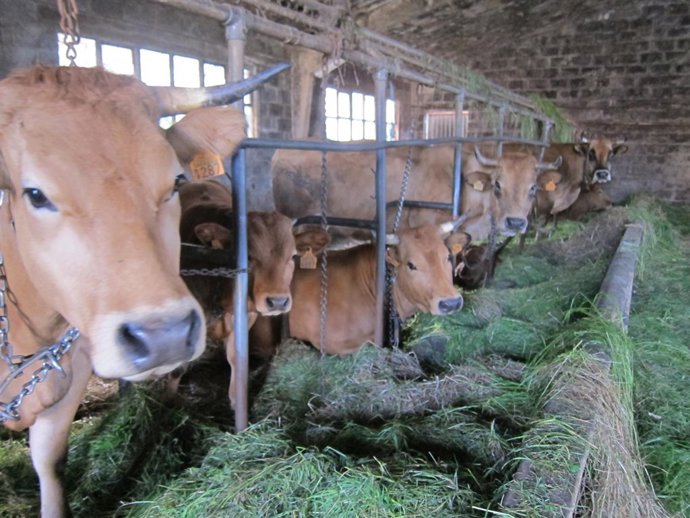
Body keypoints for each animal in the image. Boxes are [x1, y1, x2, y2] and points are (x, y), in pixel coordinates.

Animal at [177, 180, 329, 408]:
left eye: (292, 255)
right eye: (248, 257)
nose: (278, 301)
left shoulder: (246, 315)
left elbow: (236, 356)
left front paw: (236, 398)